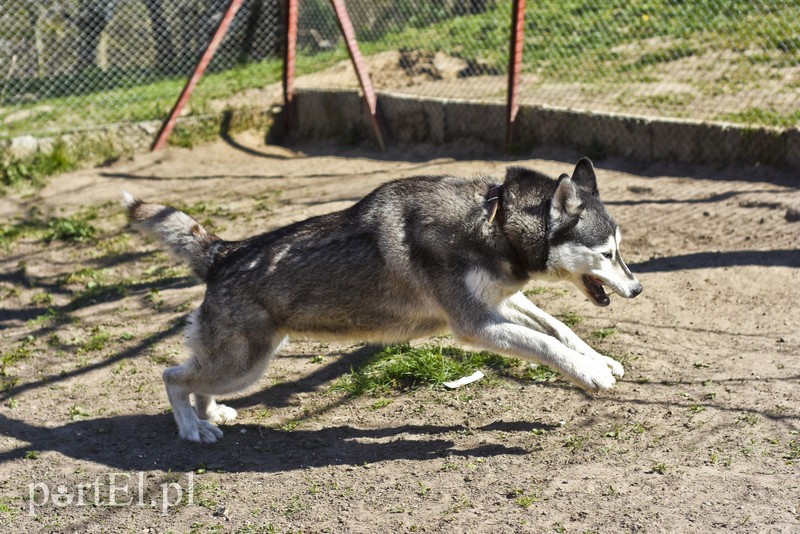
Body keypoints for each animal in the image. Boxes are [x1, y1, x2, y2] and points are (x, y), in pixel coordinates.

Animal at [125, 158, 644, 444]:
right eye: (607, 254)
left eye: (620, 250)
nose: (638, 289)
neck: (492, 221)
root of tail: (224, 251)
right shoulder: (476, 324)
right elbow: (544, 344)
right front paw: (591, 375)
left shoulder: (501, 302)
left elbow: (559, 329)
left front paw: (598, 360)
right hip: (244, 364)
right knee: (172, 377)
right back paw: (192, 429)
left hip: (244, 365)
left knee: (195, 380)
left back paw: (210, 415)